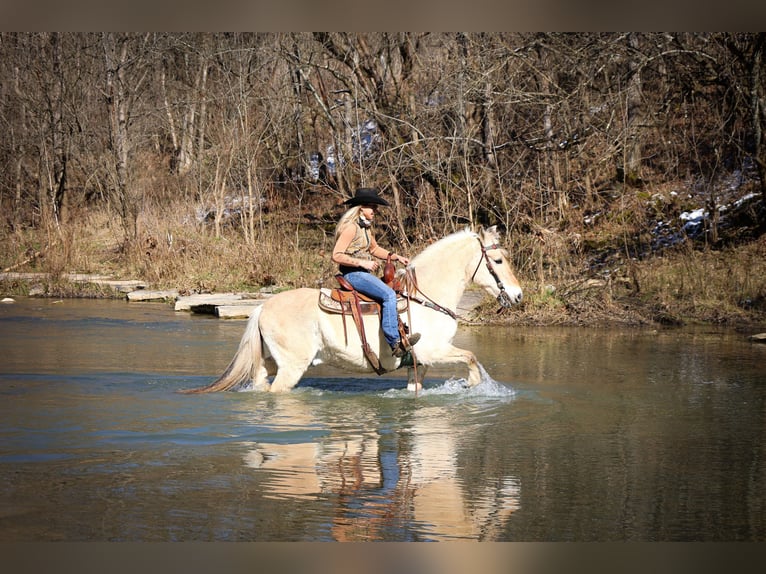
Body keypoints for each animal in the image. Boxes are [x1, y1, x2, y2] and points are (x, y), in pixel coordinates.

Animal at [183, 225, 524, 396]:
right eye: (497, 261)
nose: (518, 295)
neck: (424, 298)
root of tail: (262, 307)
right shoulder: (434, 351)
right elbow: (471, 358)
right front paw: (474, 385)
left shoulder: (421, 363)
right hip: (291, 367)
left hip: (267, 363)